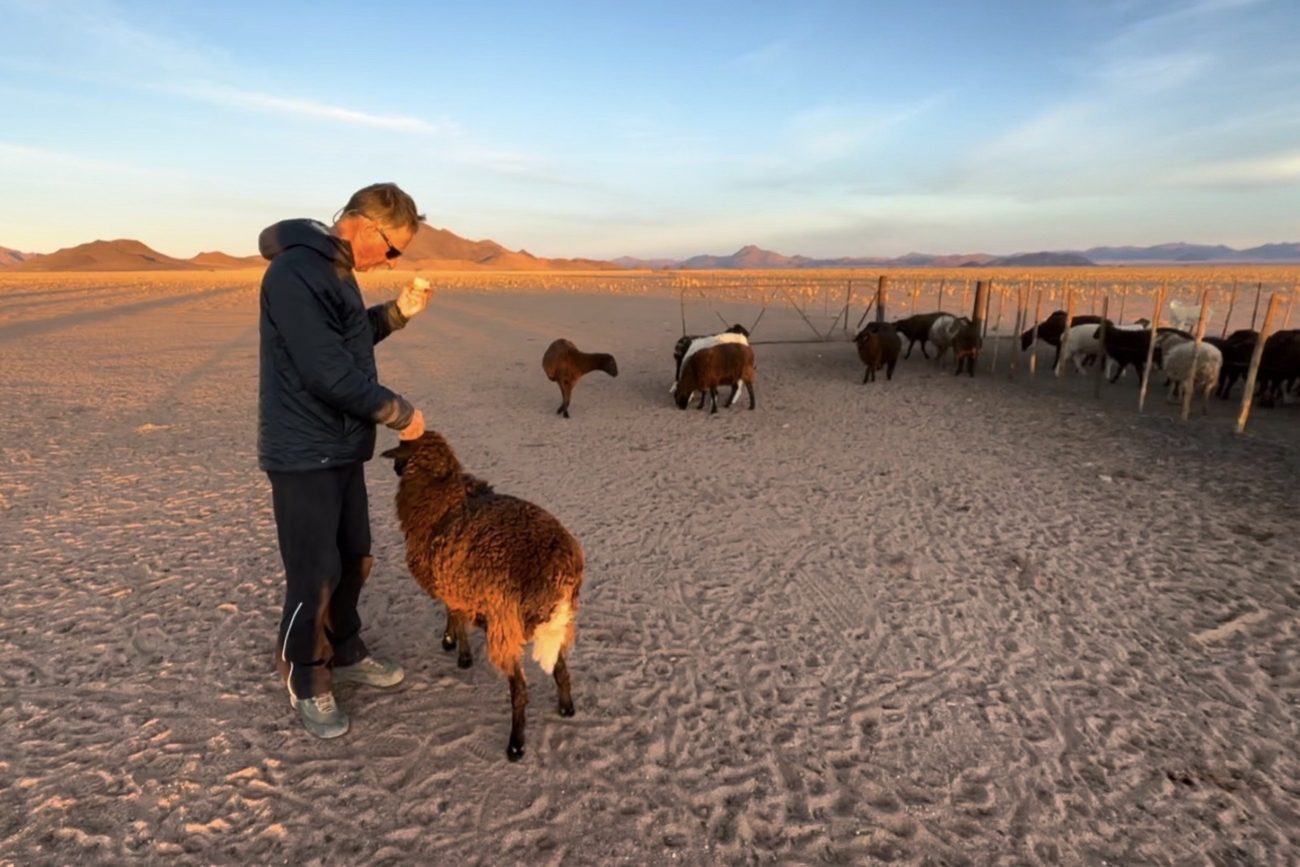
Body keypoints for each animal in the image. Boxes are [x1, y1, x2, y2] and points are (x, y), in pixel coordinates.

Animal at [379, 431, 585, 759]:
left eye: (401, 450)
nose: (396, 469)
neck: (442, 492)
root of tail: (557, 566)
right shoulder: (454, 580)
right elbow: (454, 612)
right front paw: (453, 641)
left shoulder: (449, 580)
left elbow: (454, 615)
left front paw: (456, 647)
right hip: (553, 624)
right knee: (561, 668)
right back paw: (566, 707)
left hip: (505, 622)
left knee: (520, 689)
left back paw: (515, 745)